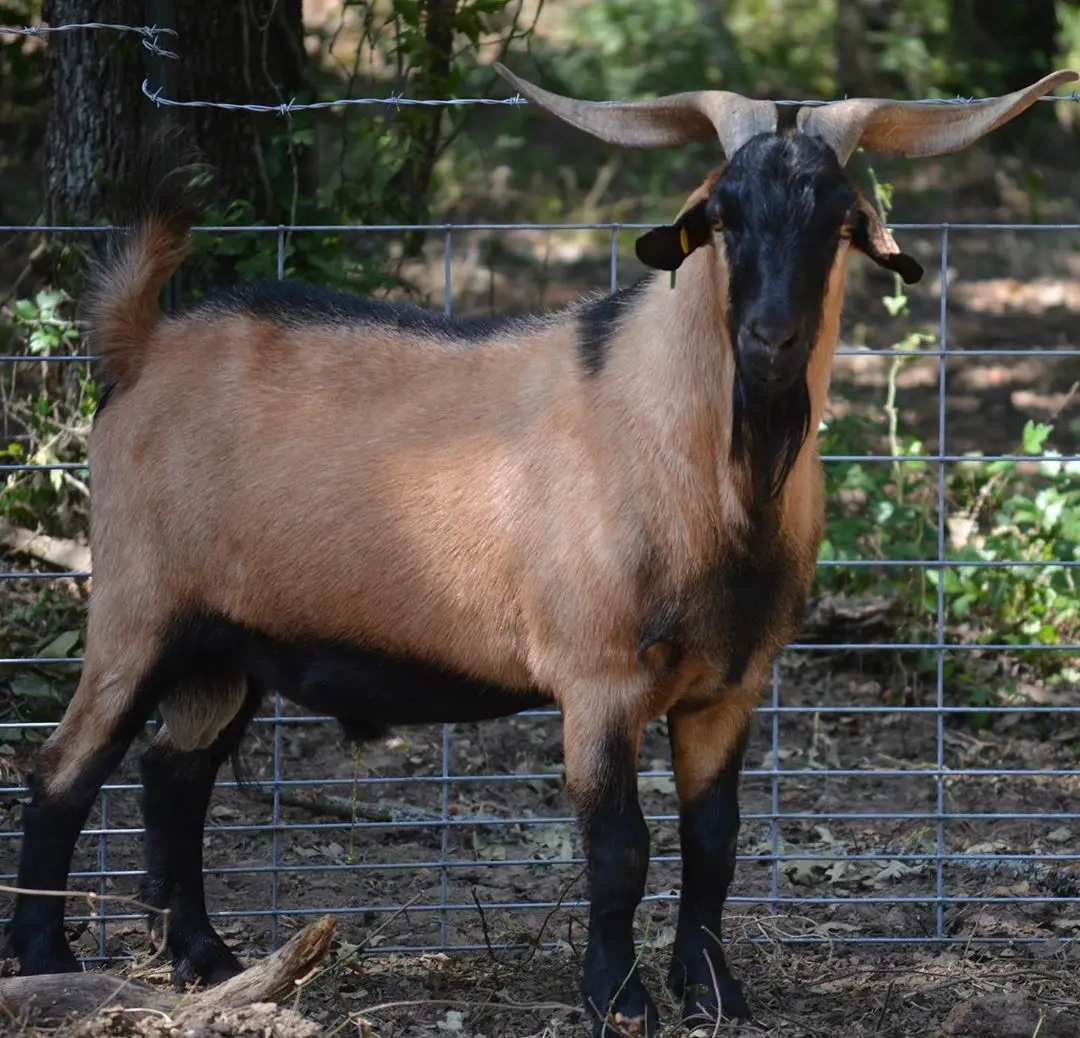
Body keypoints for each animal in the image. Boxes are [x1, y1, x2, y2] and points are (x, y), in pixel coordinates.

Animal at [8, 65, 1075, 1037]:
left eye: (843, 221)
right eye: (721, 215)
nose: (771, 340)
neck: (697, 456)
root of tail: (140, 346)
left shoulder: (730, 686)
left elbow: (715, 843)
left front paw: (714, 993)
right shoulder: (597, 679)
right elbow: (619, 849)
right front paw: (620, 1000)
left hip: (227, 647)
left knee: (173, 775)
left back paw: (205, 958)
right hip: (138, 608)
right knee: (65, 769)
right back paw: (48, 960)